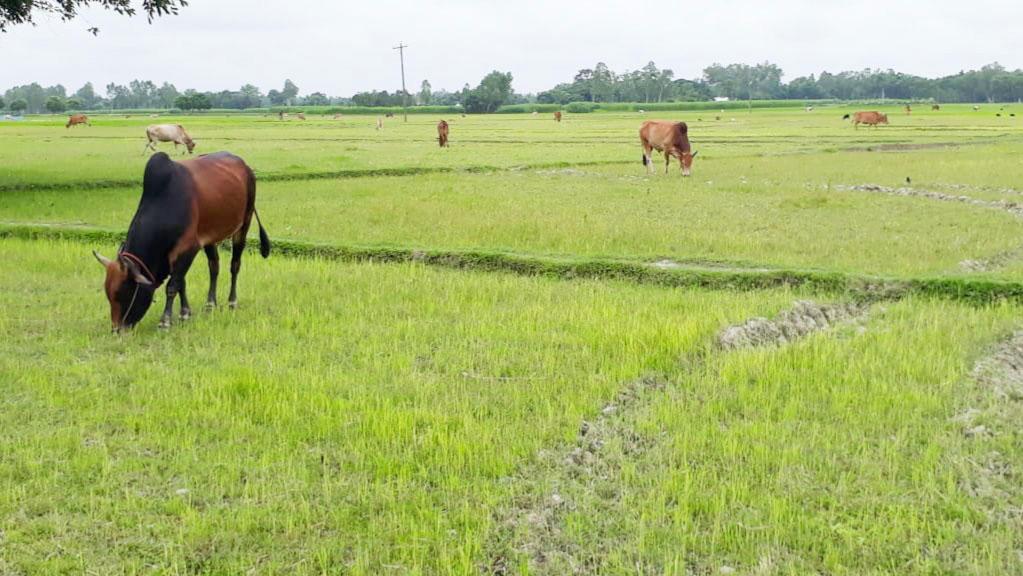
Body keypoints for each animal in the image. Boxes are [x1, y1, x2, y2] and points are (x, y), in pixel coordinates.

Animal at [93, 153, 270, 331]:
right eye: (108, 293)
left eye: (122, 292)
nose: (117, 330)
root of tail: (245, 165)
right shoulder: (177, 255)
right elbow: (181, 283)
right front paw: (185, 313)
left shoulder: (187, 249)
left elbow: (172, 286)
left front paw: (165, 321)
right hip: (210, 237)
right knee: (214, 267)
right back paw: (210, 304)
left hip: (244, 224)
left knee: (235, 265)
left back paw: (232, 302)